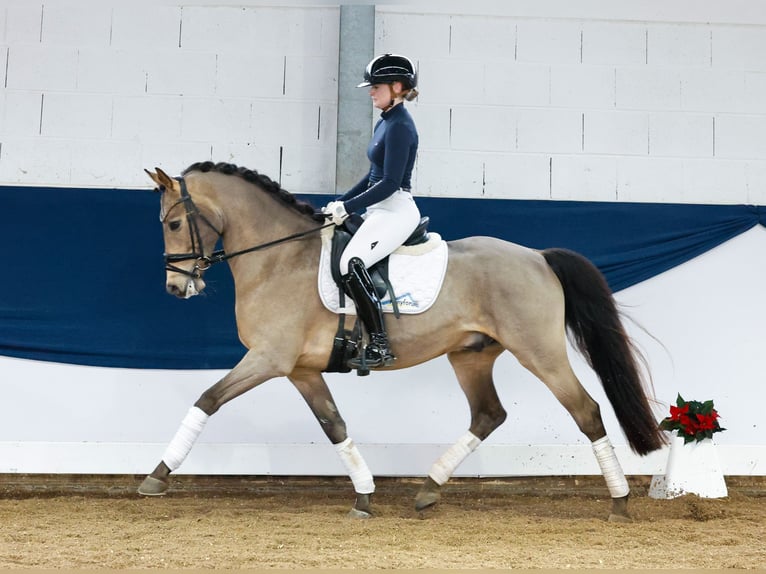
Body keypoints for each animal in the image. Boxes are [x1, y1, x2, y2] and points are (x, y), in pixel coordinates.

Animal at [141, 161, 668, 520]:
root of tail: (538, 257)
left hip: (539, 352)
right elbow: (335, 426)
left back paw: (620, 502)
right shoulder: (302, 369)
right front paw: (364, 495)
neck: (279, 258)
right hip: (470, 355)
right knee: (488, 414)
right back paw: (429, 487)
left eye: (173, 223)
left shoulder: (269, 358)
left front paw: (156, 477)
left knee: (586, 411)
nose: (176, 288)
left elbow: (207, 398)